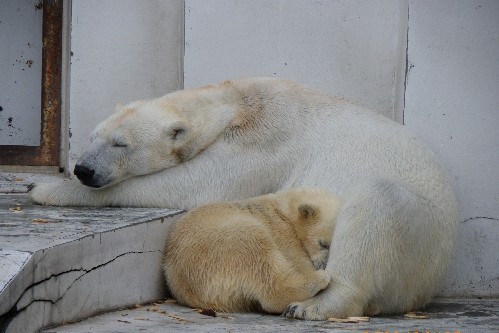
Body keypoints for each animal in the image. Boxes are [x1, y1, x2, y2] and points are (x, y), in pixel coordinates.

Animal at [29, 78, 458, 320]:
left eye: (120, 143)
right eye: (93, 136)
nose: (85, 169)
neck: (239, 102)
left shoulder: (265, 140)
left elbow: (197, 184)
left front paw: (43, 187)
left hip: (423, 243)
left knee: (379, 201)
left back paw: (314, 306)